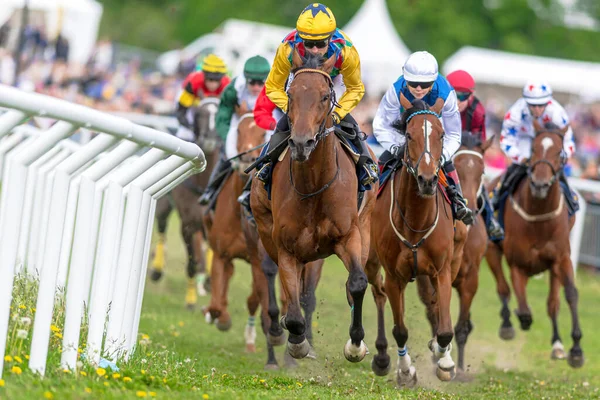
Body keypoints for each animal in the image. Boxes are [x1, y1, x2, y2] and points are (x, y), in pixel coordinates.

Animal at [151, 96, 221, 306]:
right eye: (200, 114)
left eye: (221, 113)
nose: (209, 140)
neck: (202, 185)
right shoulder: (188, 224)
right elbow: (191, 263)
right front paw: (190, 301)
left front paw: (208, 282)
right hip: (164, 206)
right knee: (162, 228)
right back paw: (157, 270)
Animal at [251, 50, 378, 362]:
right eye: (291, 94)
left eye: (323, 96)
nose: (301, 143)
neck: (313, 186)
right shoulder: (285, 246)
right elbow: (293, 306)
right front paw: (297, 342)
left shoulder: (348, 235)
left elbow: (357, 282)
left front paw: (355, 344)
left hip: (365, 226)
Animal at [370, 95, 468, 386]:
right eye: (409, 135)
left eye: (442, 134)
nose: (426, 179)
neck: (416, 220)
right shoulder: (394, 277)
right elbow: (400, 330)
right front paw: (405, 370)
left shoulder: (442, 270)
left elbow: (445, 328)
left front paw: (443, 359)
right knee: (373, 292)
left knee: (435, 305)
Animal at [488, 120, 580, 368]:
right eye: (533, 149)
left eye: (559, 152)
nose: (539, 185)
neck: (539, 218)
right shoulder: (517, 264)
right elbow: (521, 304)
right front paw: (521, 319)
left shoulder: (561, 259)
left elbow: (568, 295)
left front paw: (575, 349)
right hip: (490, 250)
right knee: (503, 288)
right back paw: (508, 324)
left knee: (552, 302)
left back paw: (557, 344)